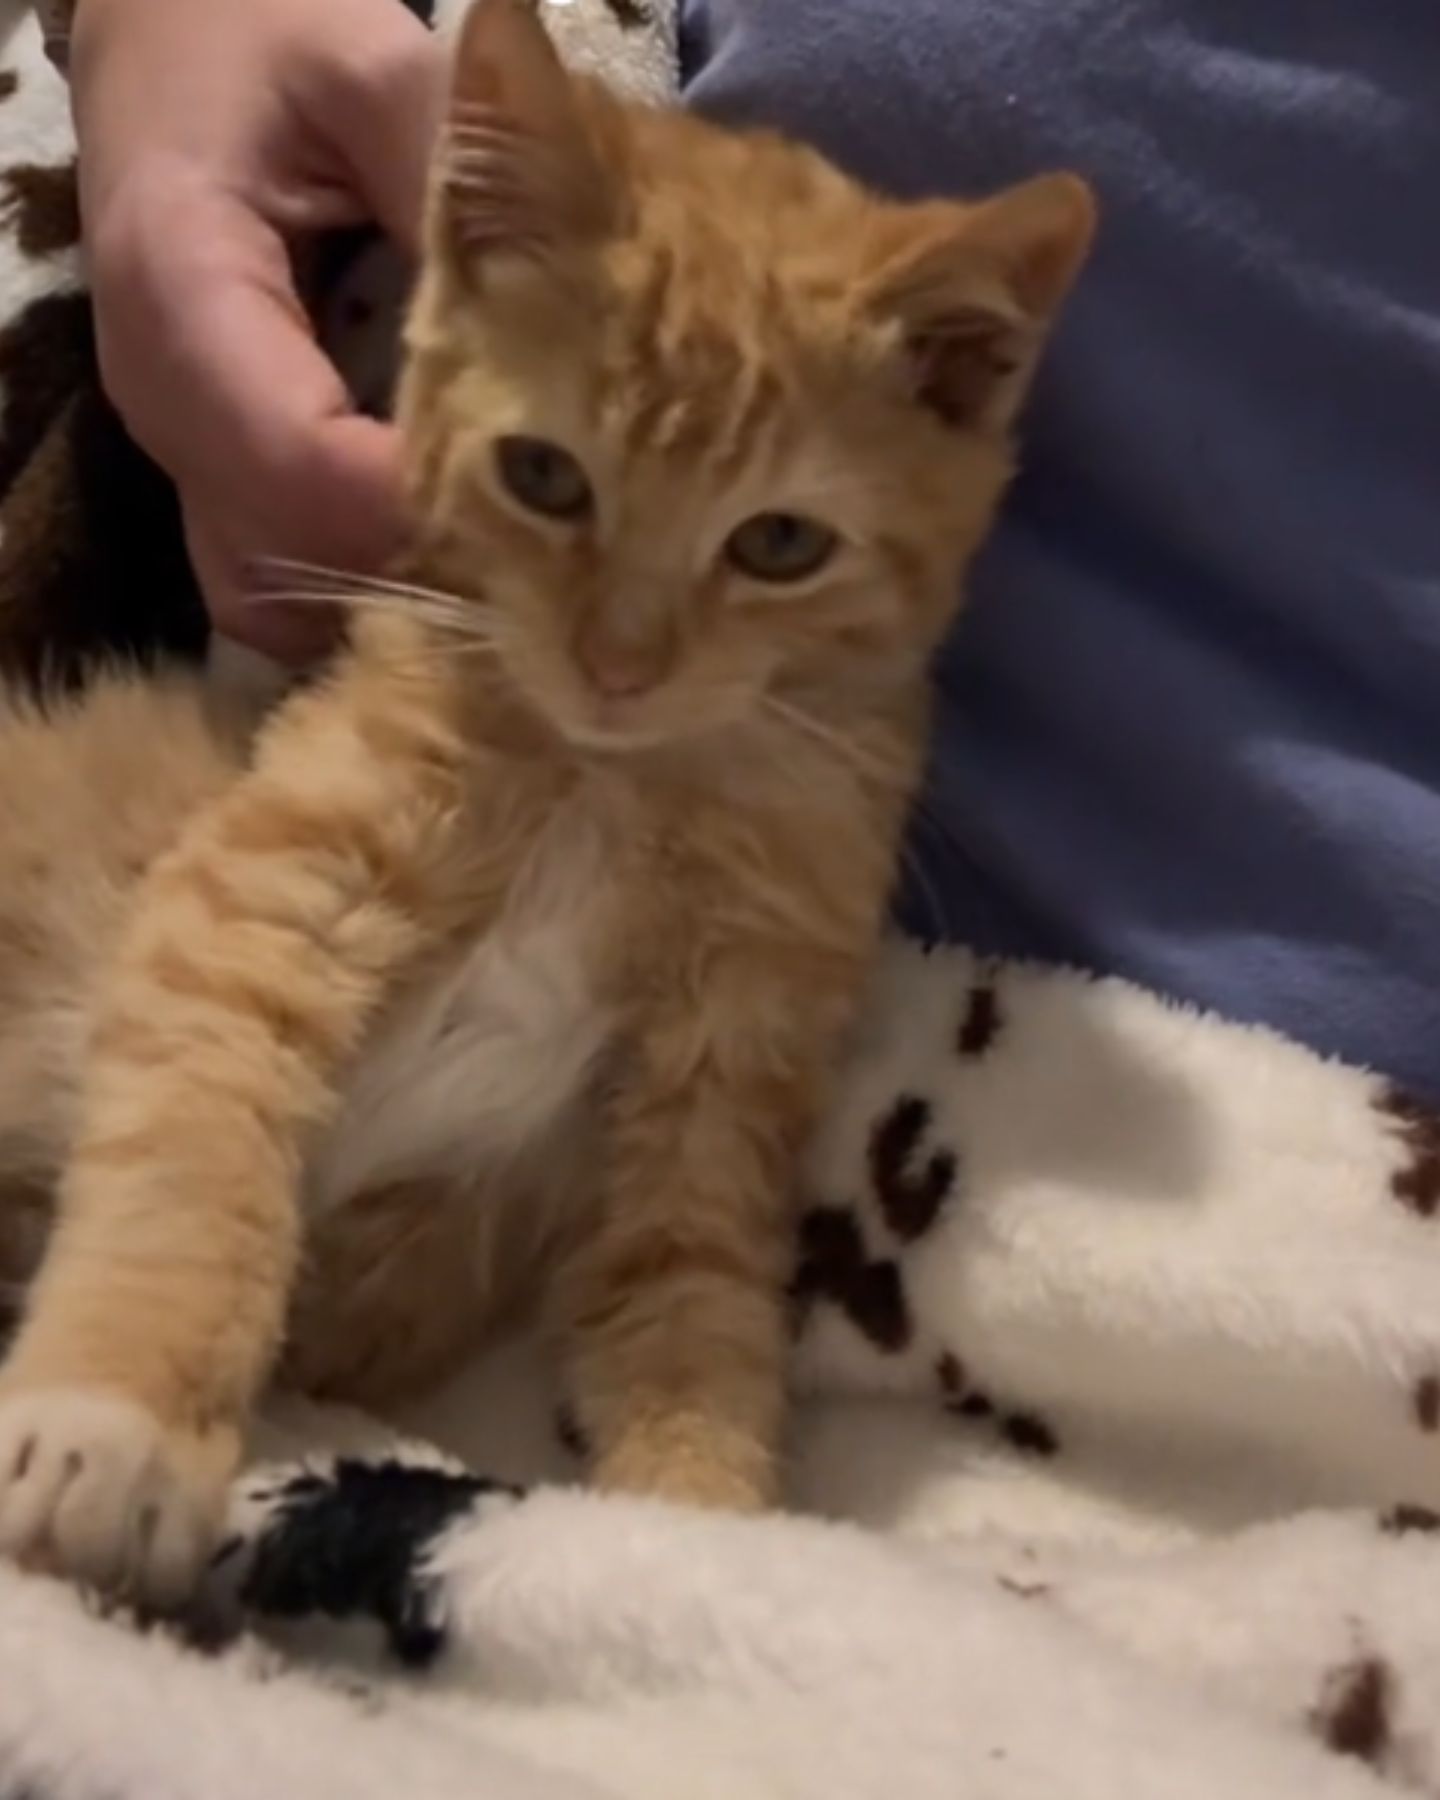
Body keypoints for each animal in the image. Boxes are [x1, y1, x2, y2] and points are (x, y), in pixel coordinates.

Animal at [0, 0, 1094, 1605]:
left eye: (778, 544)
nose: (618, 664)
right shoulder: (259, 895)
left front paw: (703, 1540)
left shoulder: (716, 1083)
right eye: (543, 475)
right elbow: (191, 1159)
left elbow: (694, 1307)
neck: (612, 792)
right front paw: (113, 1420)